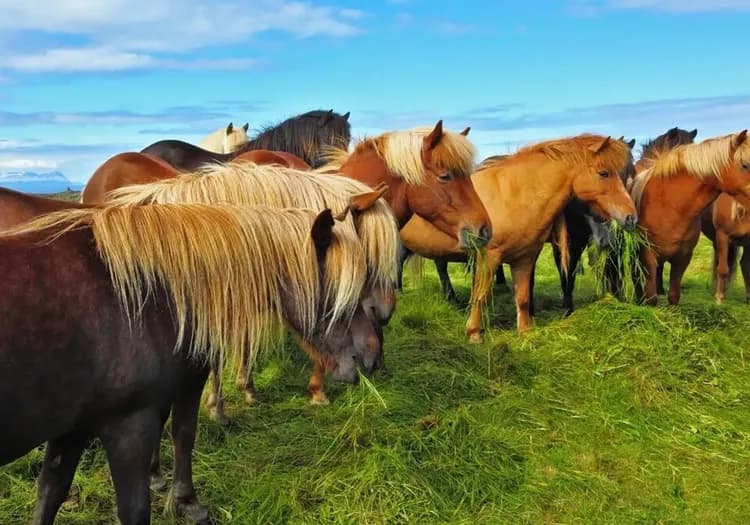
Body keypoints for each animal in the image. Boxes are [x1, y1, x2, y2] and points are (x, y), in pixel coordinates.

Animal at [0, 202, 382, 525]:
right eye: (341, 292)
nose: (372, 356)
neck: (144, 296)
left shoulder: (74, 429)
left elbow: (50, 494)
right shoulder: (129, 427)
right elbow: (147, 488)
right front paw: (186, 502)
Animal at [400, 134, 637, 341]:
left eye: (629, 174)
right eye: (604, 173)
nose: (630, 217)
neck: (514, 194)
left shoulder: (525, 258)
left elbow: (522, 298)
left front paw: (525, 331)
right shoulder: (488, 258)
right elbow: (480, 296)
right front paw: (474, 333)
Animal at [630, 131, 750, 305]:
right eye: (745, 165)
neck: (671, 206)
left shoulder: (683, 257)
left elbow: (674, 296)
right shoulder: (647, 254)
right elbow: (651, 297)